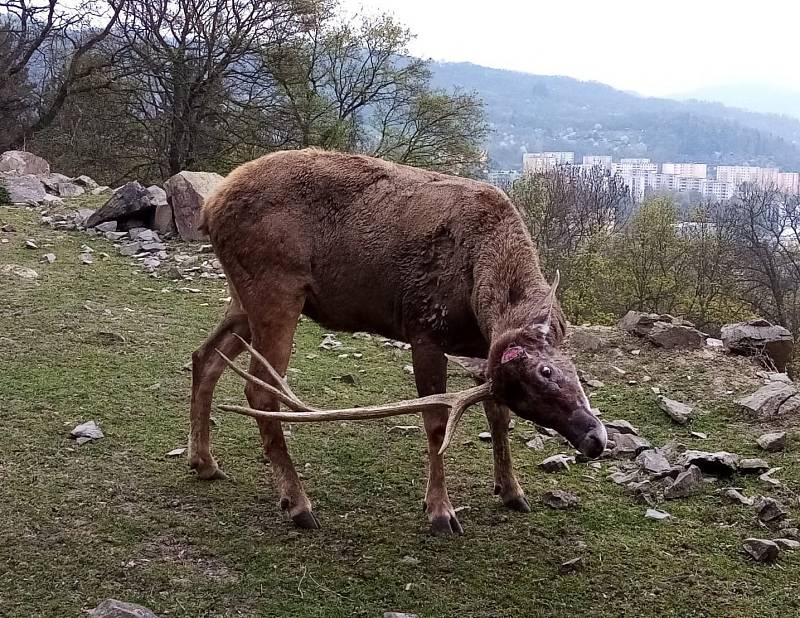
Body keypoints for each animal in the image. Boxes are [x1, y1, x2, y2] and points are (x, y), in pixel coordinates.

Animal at [191, 147, 608, 532]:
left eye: (524, 398)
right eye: (545, 371)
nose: (595, 439)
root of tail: (208, 209)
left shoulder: (483, 351)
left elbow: (497, 418)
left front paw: (511, 491)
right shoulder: (424, 328)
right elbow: (437, 422)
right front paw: (440, 510)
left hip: (241, 297)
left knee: (204, 356)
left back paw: (204, 462)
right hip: (275, 288)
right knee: (259, 390)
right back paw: (297, 503)